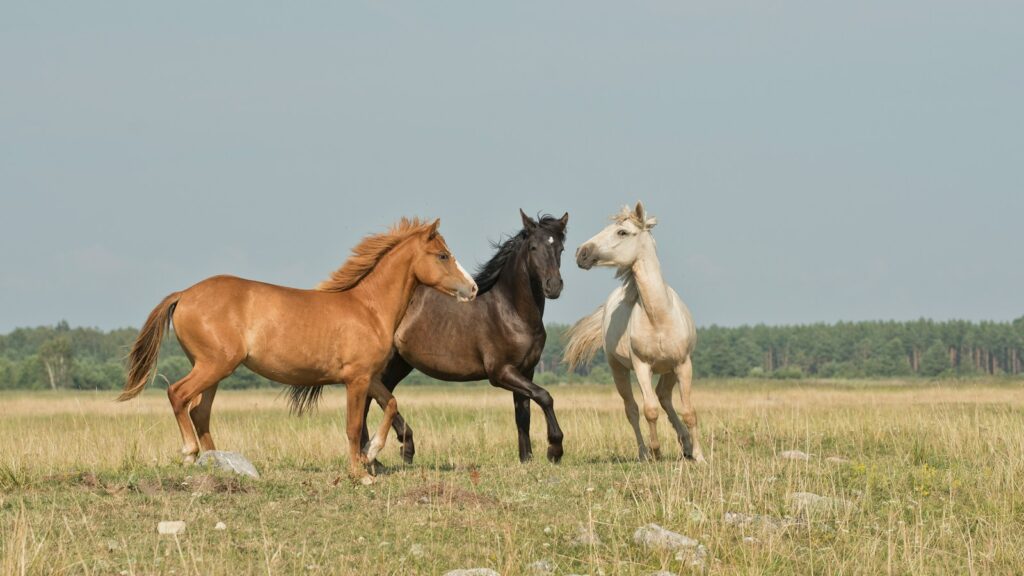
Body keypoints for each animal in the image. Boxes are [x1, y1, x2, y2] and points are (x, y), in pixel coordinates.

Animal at [117, 218, 478, 482]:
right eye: (442, 255)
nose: (472, 288)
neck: (368, 309)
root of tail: (184, 294)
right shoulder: (356, 380)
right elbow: (352, 426)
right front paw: (360, 473)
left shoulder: (370, 377)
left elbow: (391, 404)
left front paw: (372, 453)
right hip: (213, 365)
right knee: (178, 395)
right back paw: (190, 454)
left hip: (214, 371)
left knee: (199, 411)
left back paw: (219, 463)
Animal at [350, 210, 568, 464]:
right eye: (533, 247)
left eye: (560, 248)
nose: (553, 286)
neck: (511, 311)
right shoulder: (501, 372)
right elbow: (544, 396)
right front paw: (554, 449)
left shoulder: (526, 370)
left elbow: (523, 414)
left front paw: (526, 459)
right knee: (371, 399)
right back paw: (381, 453)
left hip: (399, 364)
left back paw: (389, 452)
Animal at [565, 202, 704, 462]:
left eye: (622, 232)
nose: (581, 252)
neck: (659, 317)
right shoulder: (642, 366)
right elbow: (649, 410)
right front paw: (656, 452)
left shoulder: (683, 364)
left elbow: (689, 411)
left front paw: (699, 456)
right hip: (618, 369)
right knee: (632, 409)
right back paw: (644, 453)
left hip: (669, 370)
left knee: (664, 397)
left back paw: (686, 445)